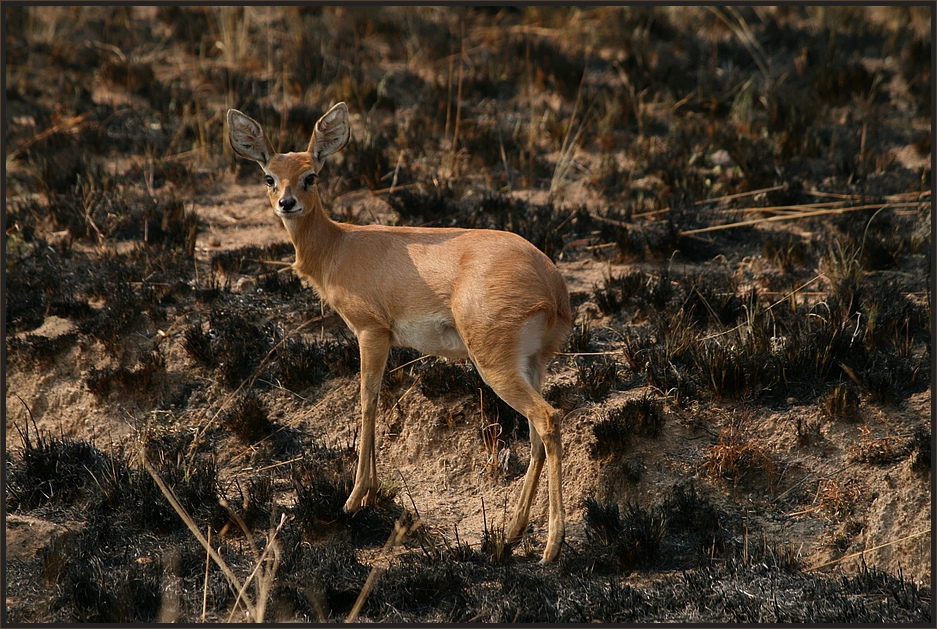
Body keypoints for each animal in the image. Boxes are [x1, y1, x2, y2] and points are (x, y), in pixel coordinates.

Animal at [230, 102, 576, 560]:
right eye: (269, 176)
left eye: (311, 175)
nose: (287, 203)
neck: (338, 246)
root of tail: (551, 284)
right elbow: (376, 401)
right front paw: (370, 492)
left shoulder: (370, 332)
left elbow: (367, 401)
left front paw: (355, 498)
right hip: (533, 364)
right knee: (538, 434)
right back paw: (512, 534)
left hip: (495, 365)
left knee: (548, 419)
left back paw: (551, 546)